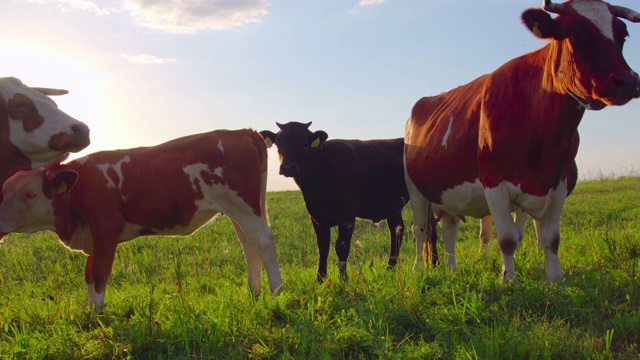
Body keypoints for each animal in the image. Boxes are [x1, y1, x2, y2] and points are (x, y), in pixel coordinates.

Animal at [0, 129, 282, 312]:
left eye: (29, 193)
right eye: (5, 189)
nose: (1, 224)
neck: (80, 187)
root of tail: (240, 132)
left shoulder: (105, 230)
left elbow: (100, 273)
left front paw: (97, 312)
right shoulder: (91, 236)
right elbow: (89, 273)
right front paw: (88, 309)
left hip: (245, 206)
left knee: (264, 241)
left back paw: (276, 291)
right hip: (239, 210)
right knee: (249, 246)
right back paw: (253, 291)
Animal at [262, 122, 438, 282]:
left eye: (304, 143)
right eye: (278, 144)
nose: (287, 167)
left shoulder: (347, 216)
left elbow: (341, 246)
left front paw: (343, 279)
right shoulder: (316, 216)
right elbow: (322, 247)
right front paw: (320, 279)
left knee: (431, 230)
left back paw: (435, 264)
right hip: (393, 205)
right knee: (396, 231)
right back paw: (390, 268)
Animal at [404, 0, 640, 284]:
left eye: (623, 35)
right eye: (578, 34)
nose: (628, 82)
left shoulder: (557, 182)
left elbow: (550, 238)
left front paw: (556, 280)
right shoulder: (494, 182)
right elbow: (507, 239)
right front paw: (508, 280)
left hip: (447, 193)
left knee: (450, 227)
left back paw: (452, 268)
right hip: (416, 191)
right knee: (420, 230)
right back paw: (417, 270)